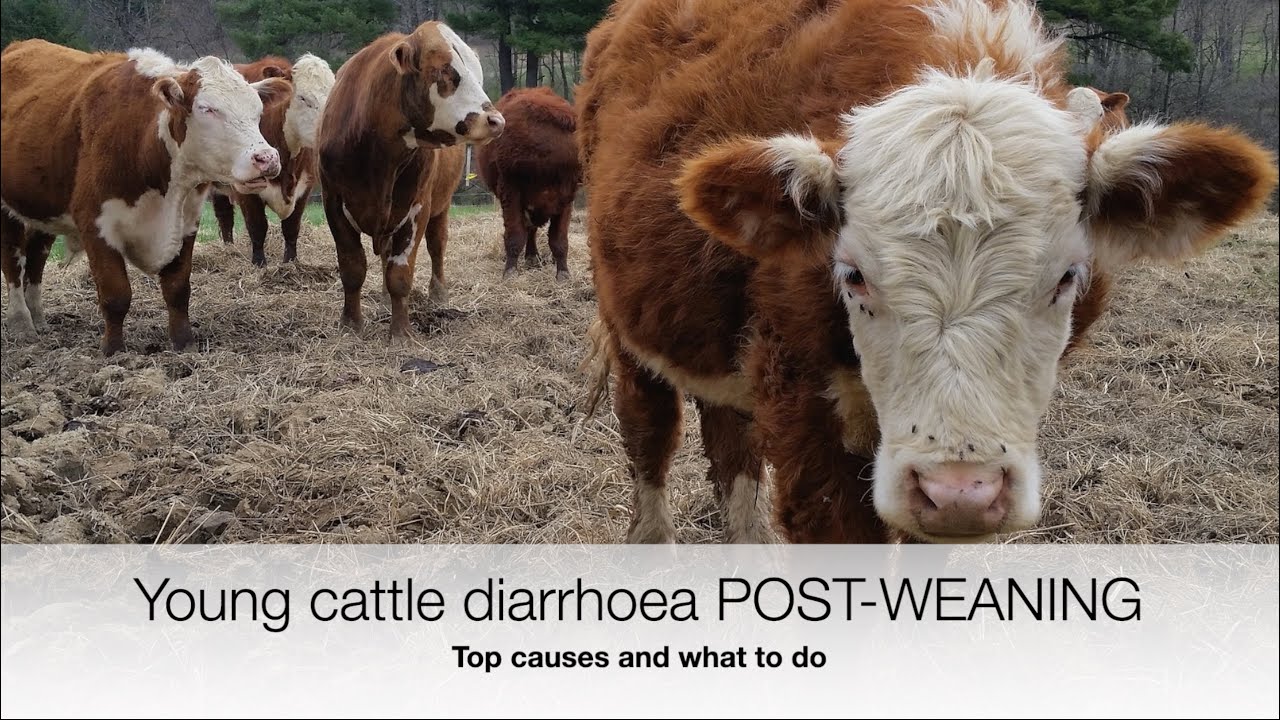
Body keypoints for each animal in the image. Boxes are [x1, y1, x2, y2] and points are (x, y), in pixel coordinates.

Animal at [1, 40, 292, 356]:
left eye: (257, 110)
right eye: (207, 109)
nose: (267, 158)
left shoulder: (186, 221)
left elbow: (178, 289)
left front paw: (184, 344)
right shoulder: (96, 225)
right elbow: (116, 294)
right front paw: (114, 350)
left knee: (36, 259)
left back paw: (39, 319)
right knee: (13, 262)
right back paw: (21, 324)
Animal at [211, 54, 336, 266]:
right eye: (303, 97)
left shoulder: (304, 187)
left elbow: (292, 227)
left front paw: (291, 263)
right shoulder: (246, 191)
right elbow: (257, 226)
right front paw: (259, 264)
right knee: (224, 215)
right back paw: (229, 250)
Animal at [316, 21, 505, 342]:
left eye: (476, 73)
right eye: (445, 70)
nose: (496, 121)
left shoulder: (417, 208)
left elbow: (400, 274)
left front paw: (401, 332)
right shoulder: (333, 203)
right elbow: (352, 268)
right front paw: (351, 324)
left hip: (441, 207)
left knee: (437, 246)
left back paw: (438, 293)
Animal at [476, 86, 582, 281]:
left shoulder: (566, 198)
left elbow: (559, 240)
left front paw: (563, 273)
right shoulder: (511, 193)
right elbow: (515, 235)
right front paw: (510, 272)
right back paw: (530, 257)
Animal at [576, 0, 1279, 545]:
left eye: (1067, 278)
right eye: (852, 275)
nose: (961, 491)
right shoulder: (806, 415)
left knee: (731, 454)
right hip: (629, 334)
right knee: (650, 443)